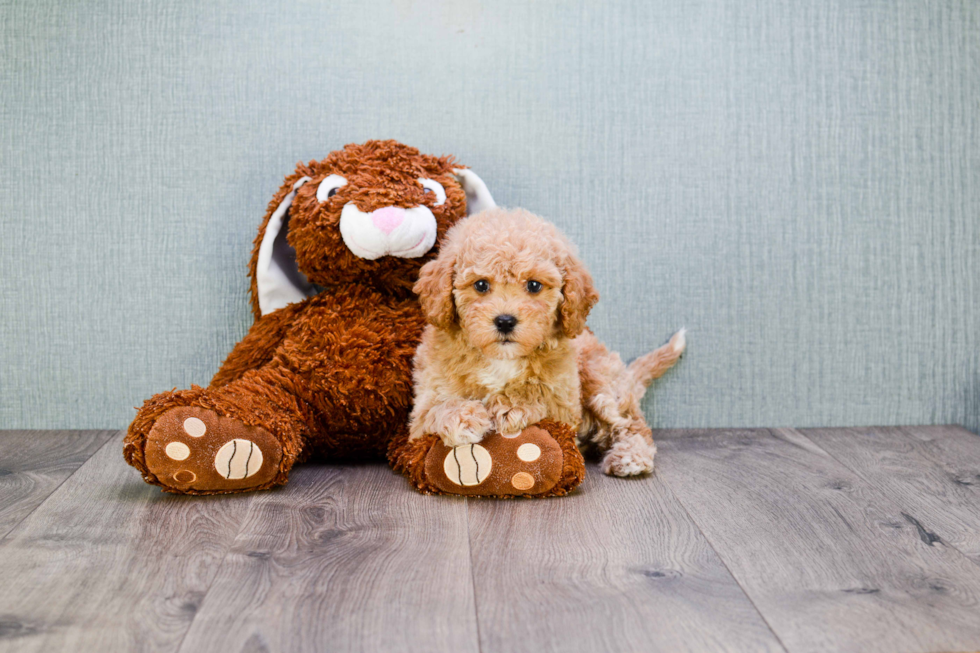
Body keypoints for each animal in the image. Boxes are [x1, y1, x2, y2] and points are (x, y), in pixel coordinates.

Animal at [410, 206, 684, 476]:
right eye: (480, 285)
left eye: (534, 285)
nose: (505, 321)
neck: (501, 359)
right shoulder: (421, 410)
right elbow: (435, 407)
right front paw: (463, 417)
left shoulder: (565, 404)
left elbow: (540, 391)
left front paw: (510, 405)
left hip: (601, 383)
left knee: (631, 424)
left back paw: (631, 456)